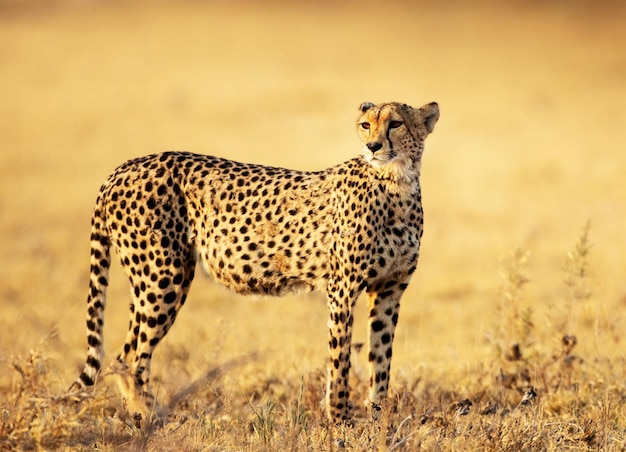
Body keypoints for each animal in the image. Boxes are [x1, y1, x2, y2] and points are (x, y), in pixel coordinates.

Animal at [70, 100, 436, 422]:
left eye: (395, 123)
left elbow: (381, 359)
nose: (373, 146)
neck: (397, 183)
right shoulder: (342, 290)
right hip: (162, 278)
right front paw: (341, 420)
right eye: (365, 125)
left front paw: (379, 418)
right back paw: (151, 418)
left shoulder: (389, 291)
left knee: (124, 354)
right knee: (130, 357)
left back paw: (141, 415)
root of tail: (125, 167)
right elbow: (340, 359)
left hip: (157, 278)